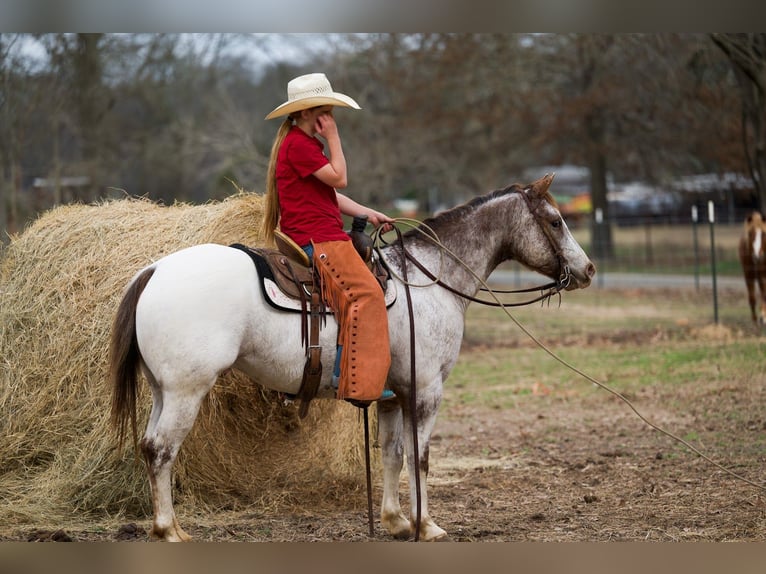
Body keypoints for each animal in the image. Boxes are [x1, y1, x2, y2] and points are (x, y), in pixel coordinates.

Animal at [110, 174, 596, 542]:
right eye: (555, 221)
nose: (588, 270)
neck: (429, 280)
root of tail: (155, 270)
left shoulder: (394, 394)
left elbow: (393, 455)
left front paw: (396, 521)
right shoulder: (426, 391)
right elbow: (419, 457)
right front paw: (426, 525)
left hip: (163, 389)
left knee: (149, 445)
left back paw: (166, 527)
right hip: (186, 391)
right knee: (162, 449)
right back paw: (169, 530)